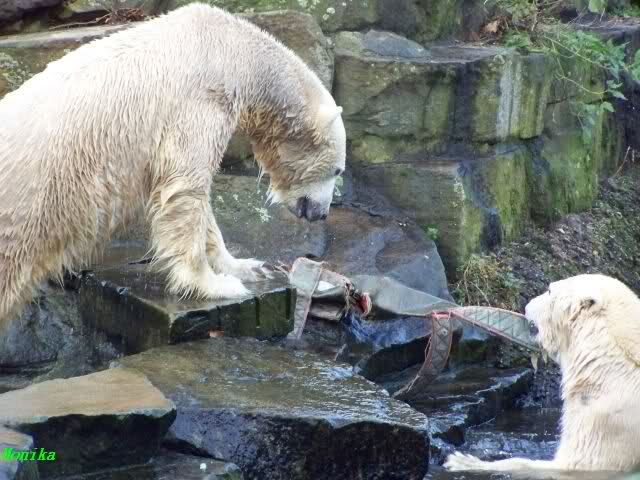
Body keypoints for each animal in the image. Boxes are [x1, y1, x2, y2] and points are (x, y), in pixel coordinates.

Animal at [0, 3, 346, 328]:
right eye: (339, 170)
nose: (322, 213)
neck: (230, 51)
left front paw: (246, 266)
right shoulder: (198, 102)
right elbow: (184, 188)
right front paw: (215, 284)